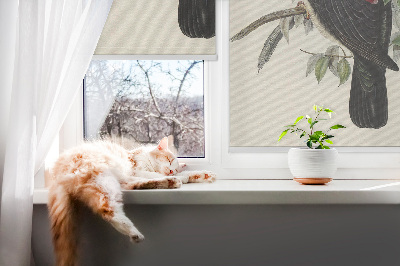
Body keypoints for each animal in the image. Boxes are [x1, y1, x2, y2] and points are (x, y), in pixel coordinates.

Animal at [47, 137, 216, 266]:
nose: (171, 171)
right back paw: (134, 232)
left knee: (134, 186)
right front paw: (182, 176)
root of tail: (56, 172)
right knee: (107, 209)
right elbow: (153, 174)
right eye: (169, 160)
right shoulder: (137, 169)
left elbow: (185, 174)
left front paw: (203, 175)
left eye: (174, 166)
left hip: (114, 181)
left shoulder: (135, 174)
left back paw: (170, 182)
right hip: (103, 178)